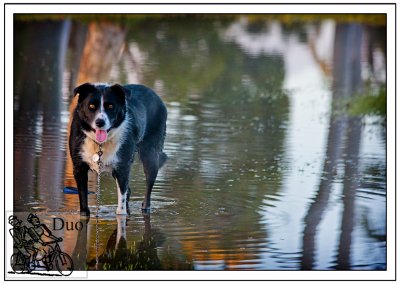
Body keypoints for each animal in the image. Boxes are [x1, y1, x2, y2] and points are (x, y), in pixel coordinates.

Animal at [69, 83, 166, 216]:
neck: (100, 144)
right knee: (129, 190)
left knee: (147, 189)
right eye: (91, 106)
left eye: (110, 106)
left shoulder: (122, 167)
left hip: (150, 156)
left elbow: (121, 207)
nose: (100, 122)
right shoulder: (79, 167)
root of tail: (156, 96)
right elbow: (83, 202)